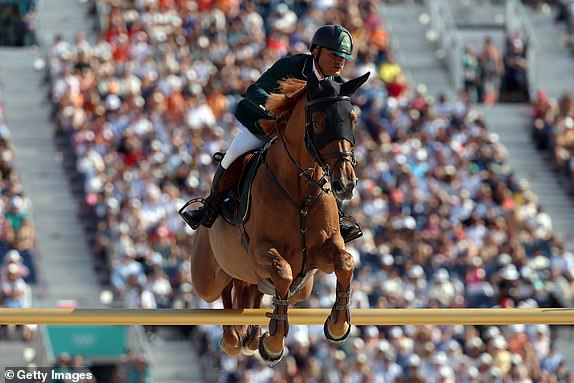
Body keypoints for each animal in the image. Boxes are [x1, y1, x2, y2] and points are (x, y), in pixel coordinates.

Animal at [187, 71, 372, 364]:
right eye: (318, 122)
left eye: (353, 118)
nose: (345, 183)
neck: (301, 194)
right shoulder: (260, 250)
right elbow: (283, 272)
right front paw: (273, 343)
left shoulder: (322, 252)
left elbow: (345, 262)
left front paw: (338, 325)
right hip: (206, 279)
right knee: (225, 289)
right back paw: (233, 339)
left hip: (298, 287)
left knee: (250, 289)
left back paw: (249, 337)